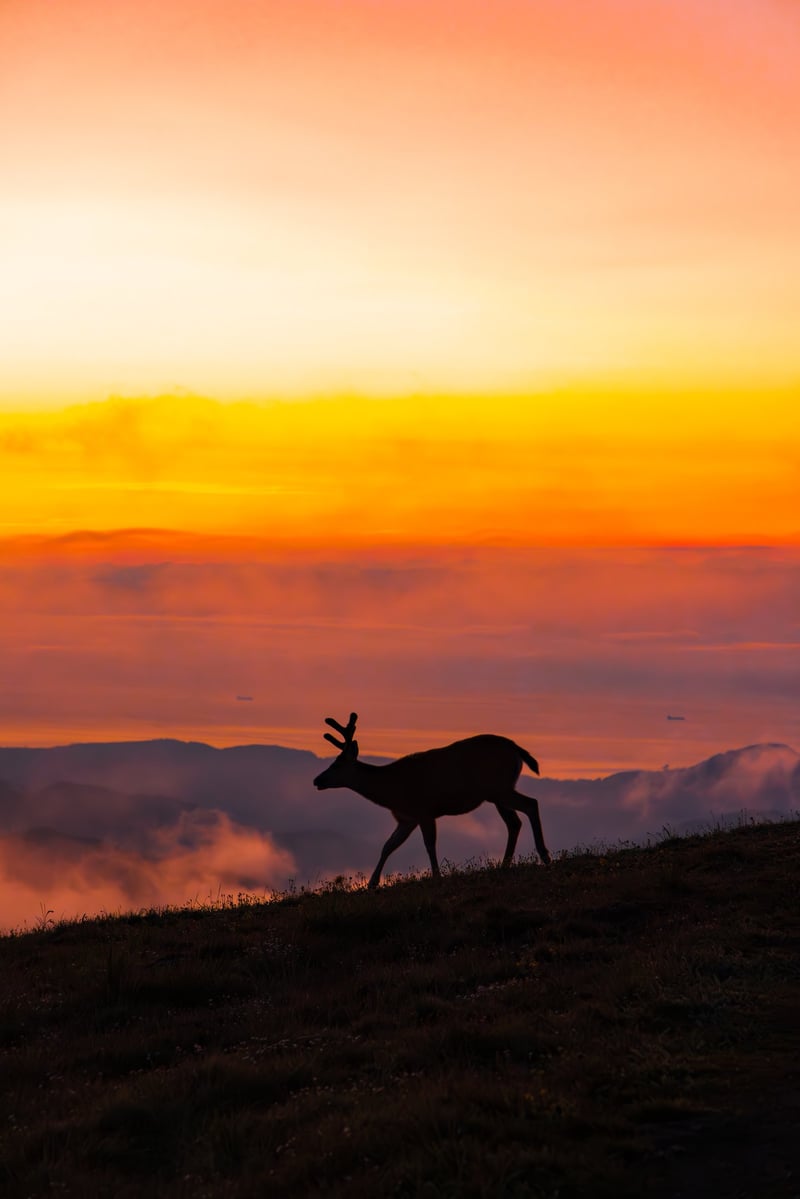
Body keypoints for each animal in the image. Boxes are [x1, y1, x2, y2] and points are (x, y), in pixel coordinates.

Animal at [313, 712, 551, 889]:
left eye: (337, 764)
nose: (317, 780)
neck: (392, 790)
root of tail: (517, 749)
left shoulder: (424, 810)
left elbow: (429, 844)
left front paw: (437, 876)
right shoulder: (406, 819)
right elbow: (388, 846)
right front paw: (372, 883)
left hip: (499, 788)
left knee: (531, 804)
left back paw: (544, 856)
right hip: (497, 793)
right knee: (514, 822)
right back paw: (505, 864)